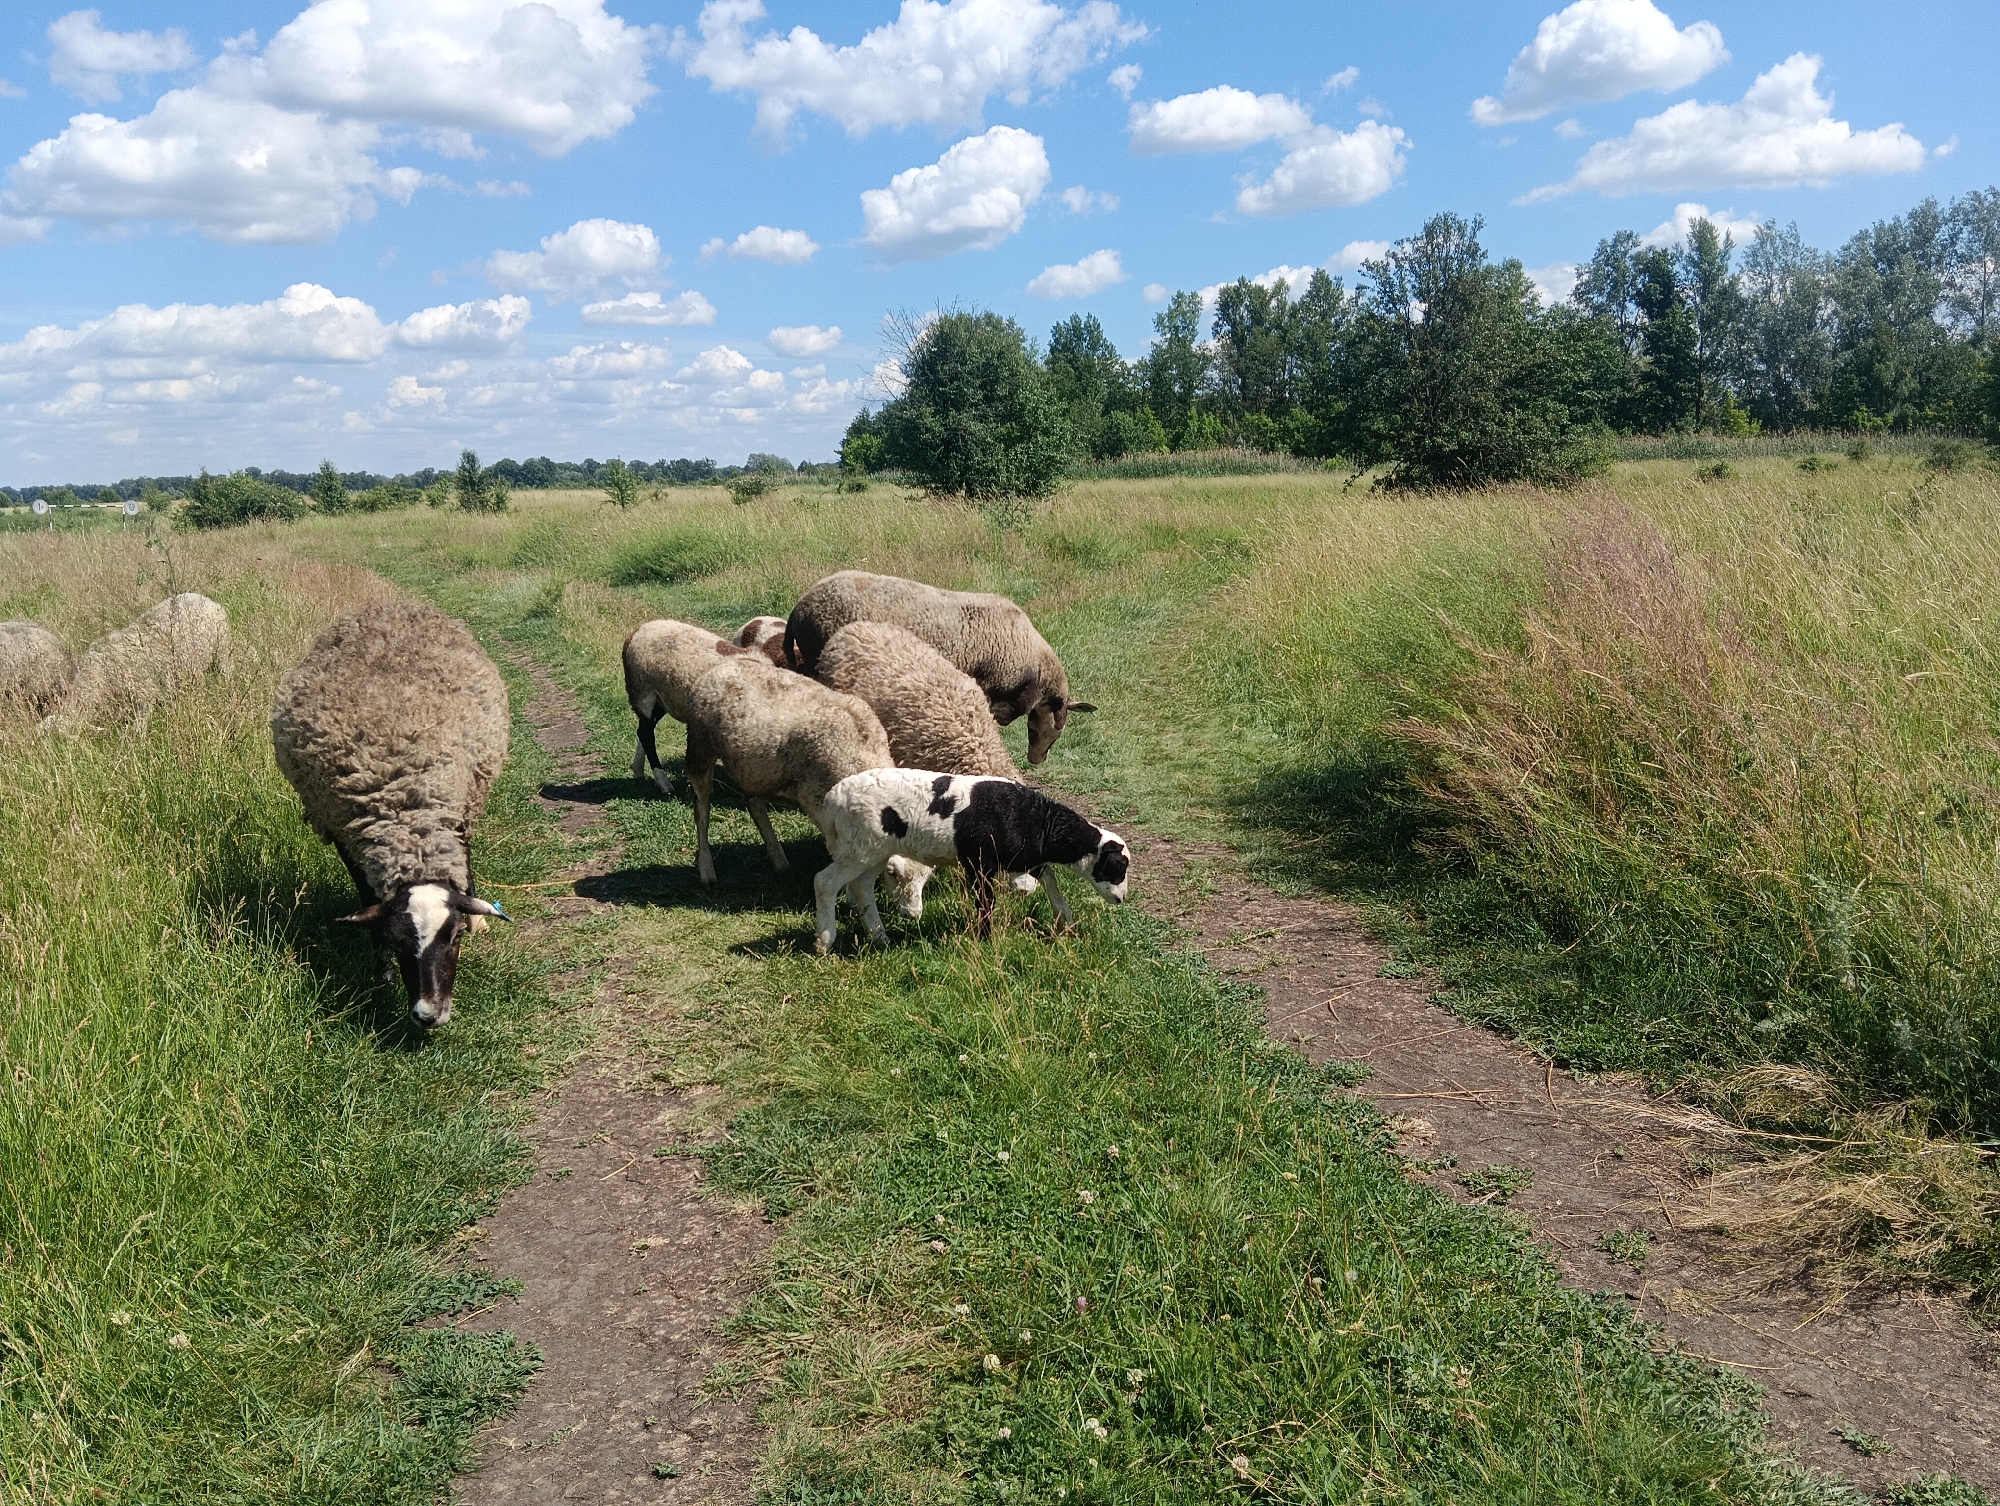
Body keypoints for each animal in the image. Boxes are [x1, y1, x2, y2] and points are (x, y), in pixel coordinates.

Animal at [271, 600, 511, 1028]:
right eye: (396, 941)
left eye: (454, 937)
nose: (427, 1015)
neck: (407, 816)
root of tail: (387, 605)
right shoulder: (346, 831)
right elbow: (368, 897)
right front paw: (381, 972)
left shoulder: (454, 809)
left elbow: (464, 867)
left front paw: (476, 917)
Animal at [623, 618, 752, 793]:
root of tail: (636, 632)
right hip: (643, 692)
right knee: (646, 734)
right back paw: (664, 783)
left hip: (662, 700)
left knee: (644, 729)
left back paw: (638, 769)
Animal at [682, 655, 892, 885]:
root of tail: (728, 662)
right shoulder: (815, 800)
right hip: (700, 747)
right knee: (701, 810)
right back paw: (706, 869)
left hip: (757, 768)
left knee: (754, 803)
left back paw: (778, 858)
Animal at [811, 769, 1129, 953]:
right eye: (1117, 867)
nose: (1122, 899)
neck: (1040, 822)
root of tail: (832, 799)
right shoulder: (979, 862)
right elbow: (986, 901)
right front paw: (985, 938)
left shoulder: (1019, 858)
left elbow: (1047, 876)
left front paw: (1065, 919)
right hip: (860, 848)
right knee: (824, 882)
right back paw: (824, 941)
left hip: (873, 851)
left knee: (861, 887)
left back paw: (879, 937)